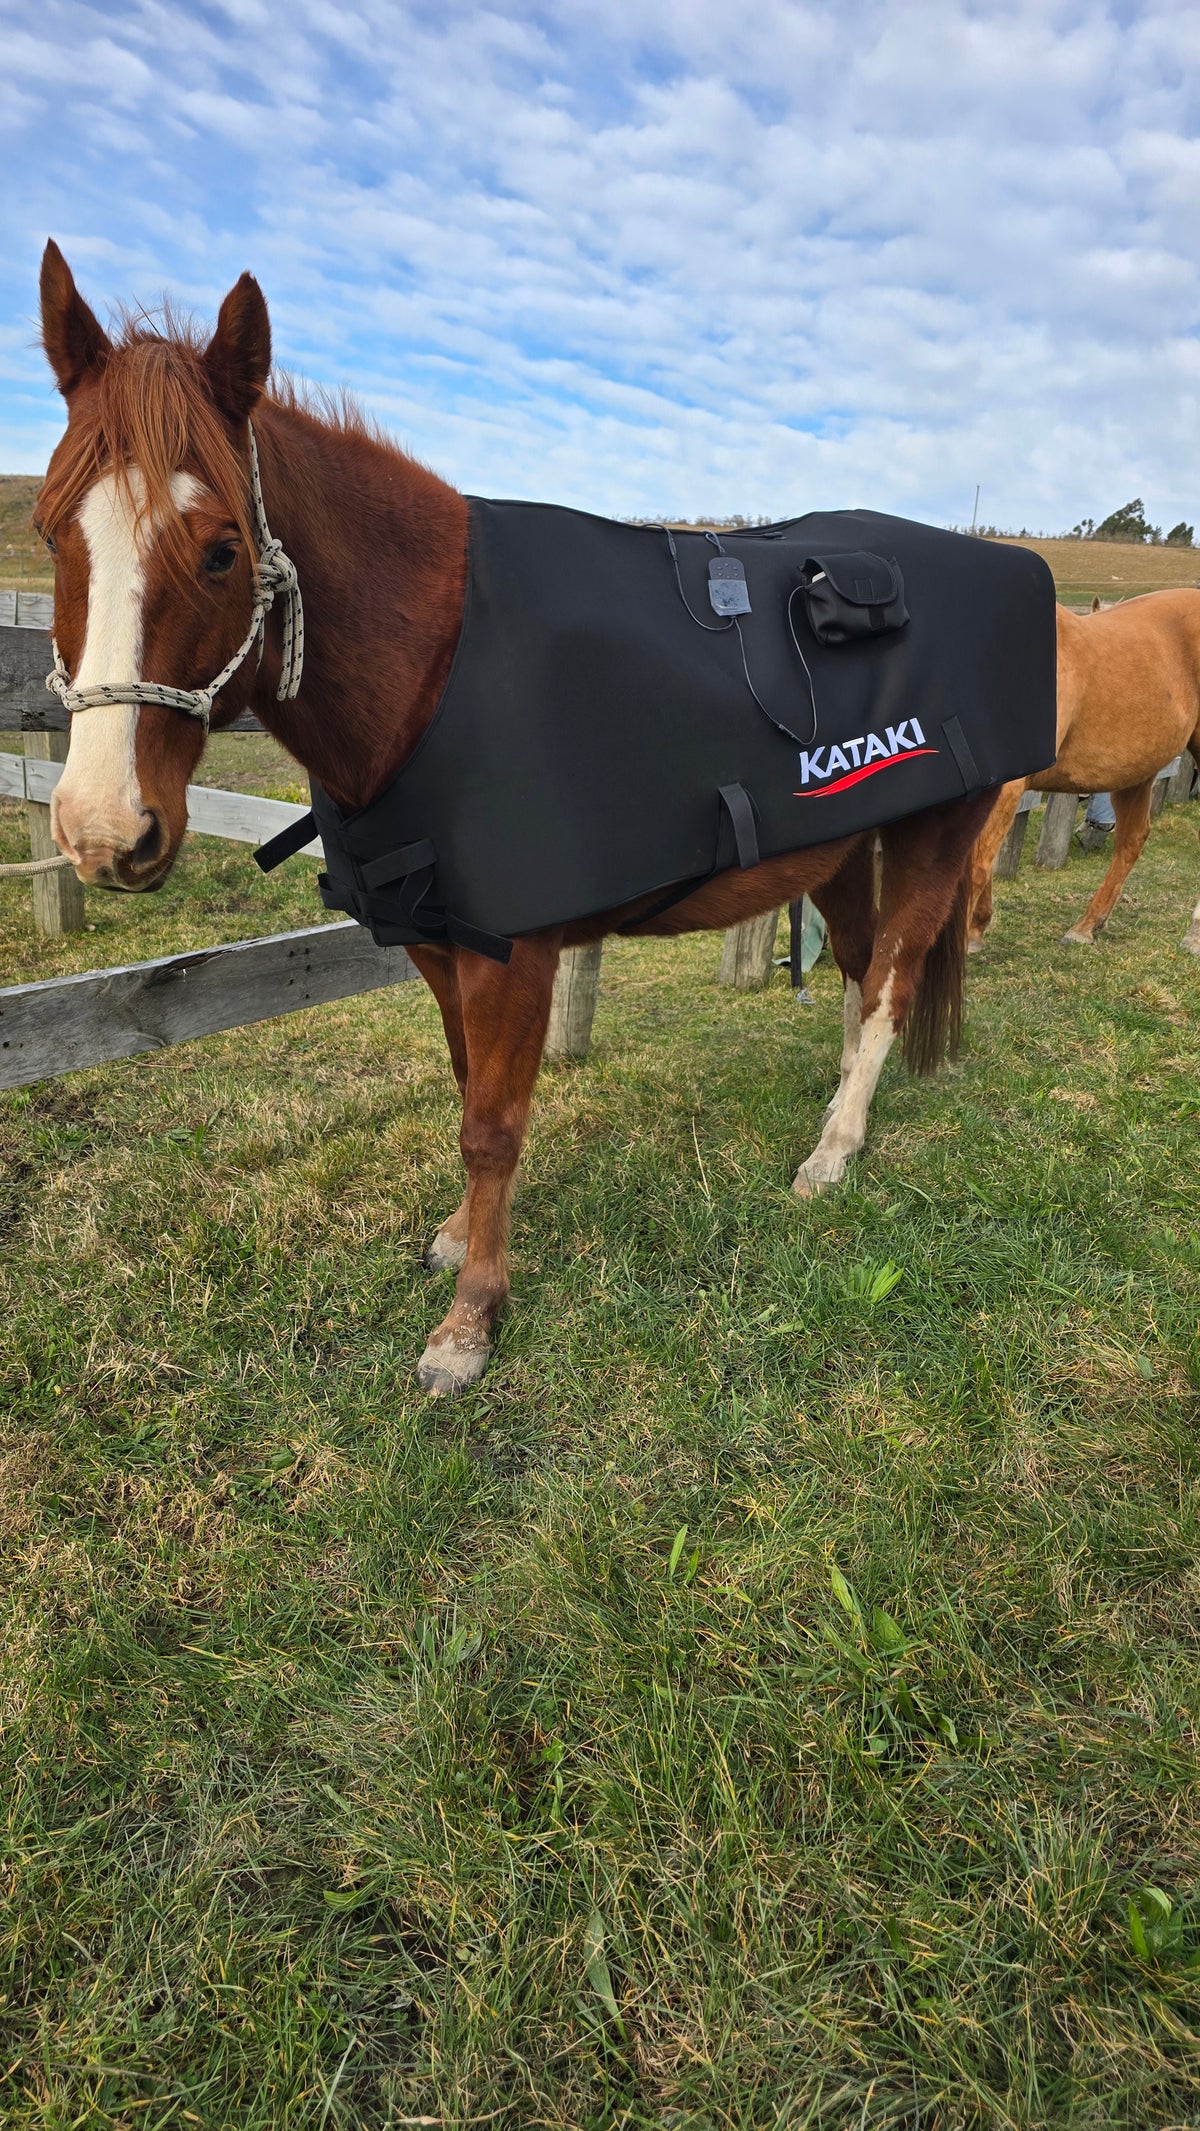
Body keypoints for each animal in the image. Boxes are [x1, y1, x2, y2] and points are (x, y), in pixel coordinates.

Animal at [36, 243, 1000, 1394]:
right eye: (51, 532)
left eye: (223, 549)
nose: (103, 831)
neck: (434, 663)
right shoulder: (437, 941)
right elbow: (467, 1092)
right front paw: (461, 1239)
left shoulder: (514, 950)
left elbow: (492, 1123)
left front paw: (470, 1319)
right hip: (842, 844)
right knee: (859, 973)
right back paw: (837, 1108)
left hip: (938, 834)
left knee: (893, 978)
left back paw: (835, 1149)